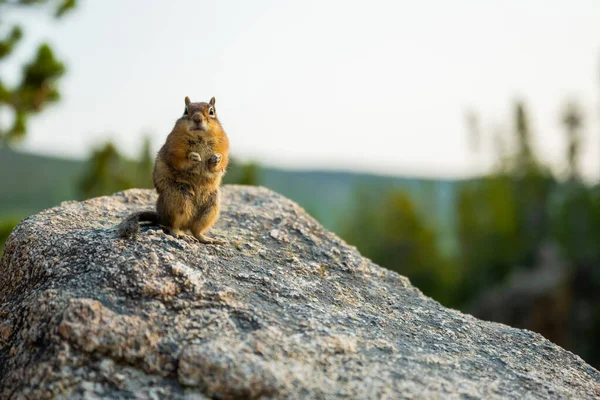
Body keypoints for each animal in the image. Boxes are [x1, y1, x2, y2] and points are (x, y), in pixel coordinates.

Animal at [116, 95, 230, 244]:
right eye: (186, 110)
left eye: (211, 111)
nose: (197, 119)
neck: (200, 137)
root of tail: (160, 215)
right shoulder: (174, 146)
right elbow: (178, 159)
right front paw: (193, 156)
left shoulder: (223, 145)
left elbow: (222, 162)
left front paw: (215, 159)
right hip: (178, 200)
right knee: (172, 225)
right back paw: (180, 234)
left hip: (211, 208)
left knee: (196, 231)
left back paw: (208, 239)